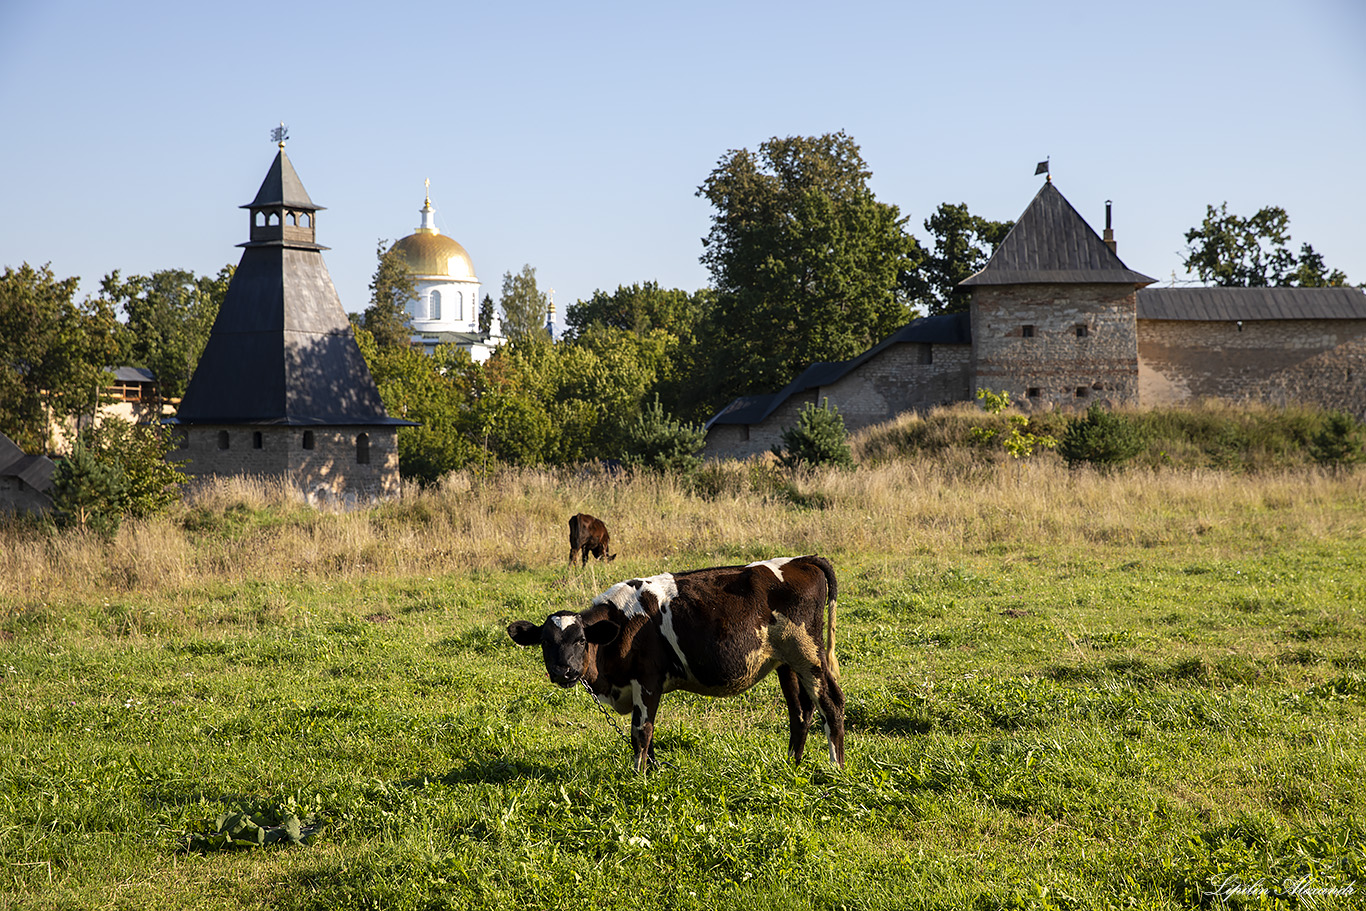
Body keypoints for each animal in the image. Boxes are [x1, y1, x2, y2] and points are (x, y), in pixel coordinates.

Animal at [508, 557, 841, 770]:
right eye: (546, 642)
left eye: (580, 640)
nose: (564, 671)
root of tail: (801, 560)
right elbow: (648, 733)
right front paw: (652, 769)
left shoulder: (647, 681)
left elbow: (640, 731)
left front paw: (638, 776)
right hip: (786, 663)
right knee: (801, 712)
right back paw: (791, 764)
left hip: (808, 654)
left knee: (831, 703)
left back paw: (835, 768)